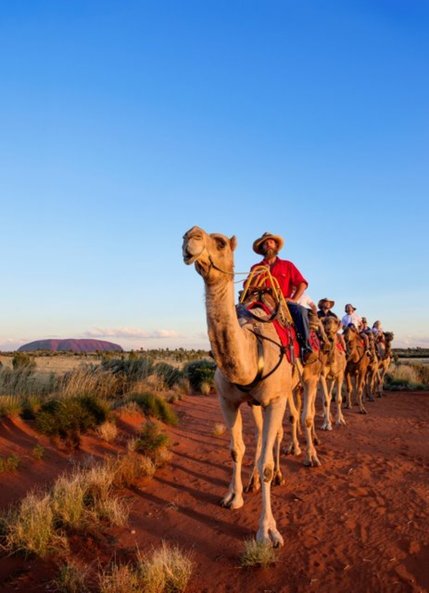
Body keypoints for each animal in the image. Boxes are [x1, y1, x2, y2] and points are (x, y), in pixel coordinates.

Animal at [182, 227, 320, 544]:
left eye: (220, 242)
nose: (190, 237)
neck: (251, 346)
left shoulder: (275, 398)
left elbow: (266, 462)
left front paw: (267, 531)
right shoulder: (227, 399)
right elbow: (237, 449)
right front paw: (234, 496)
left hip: (309, 379)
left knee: (304, 418)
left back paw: (310, 457)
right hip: (263, 400)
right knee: (265, 436)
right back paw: (255, 481)